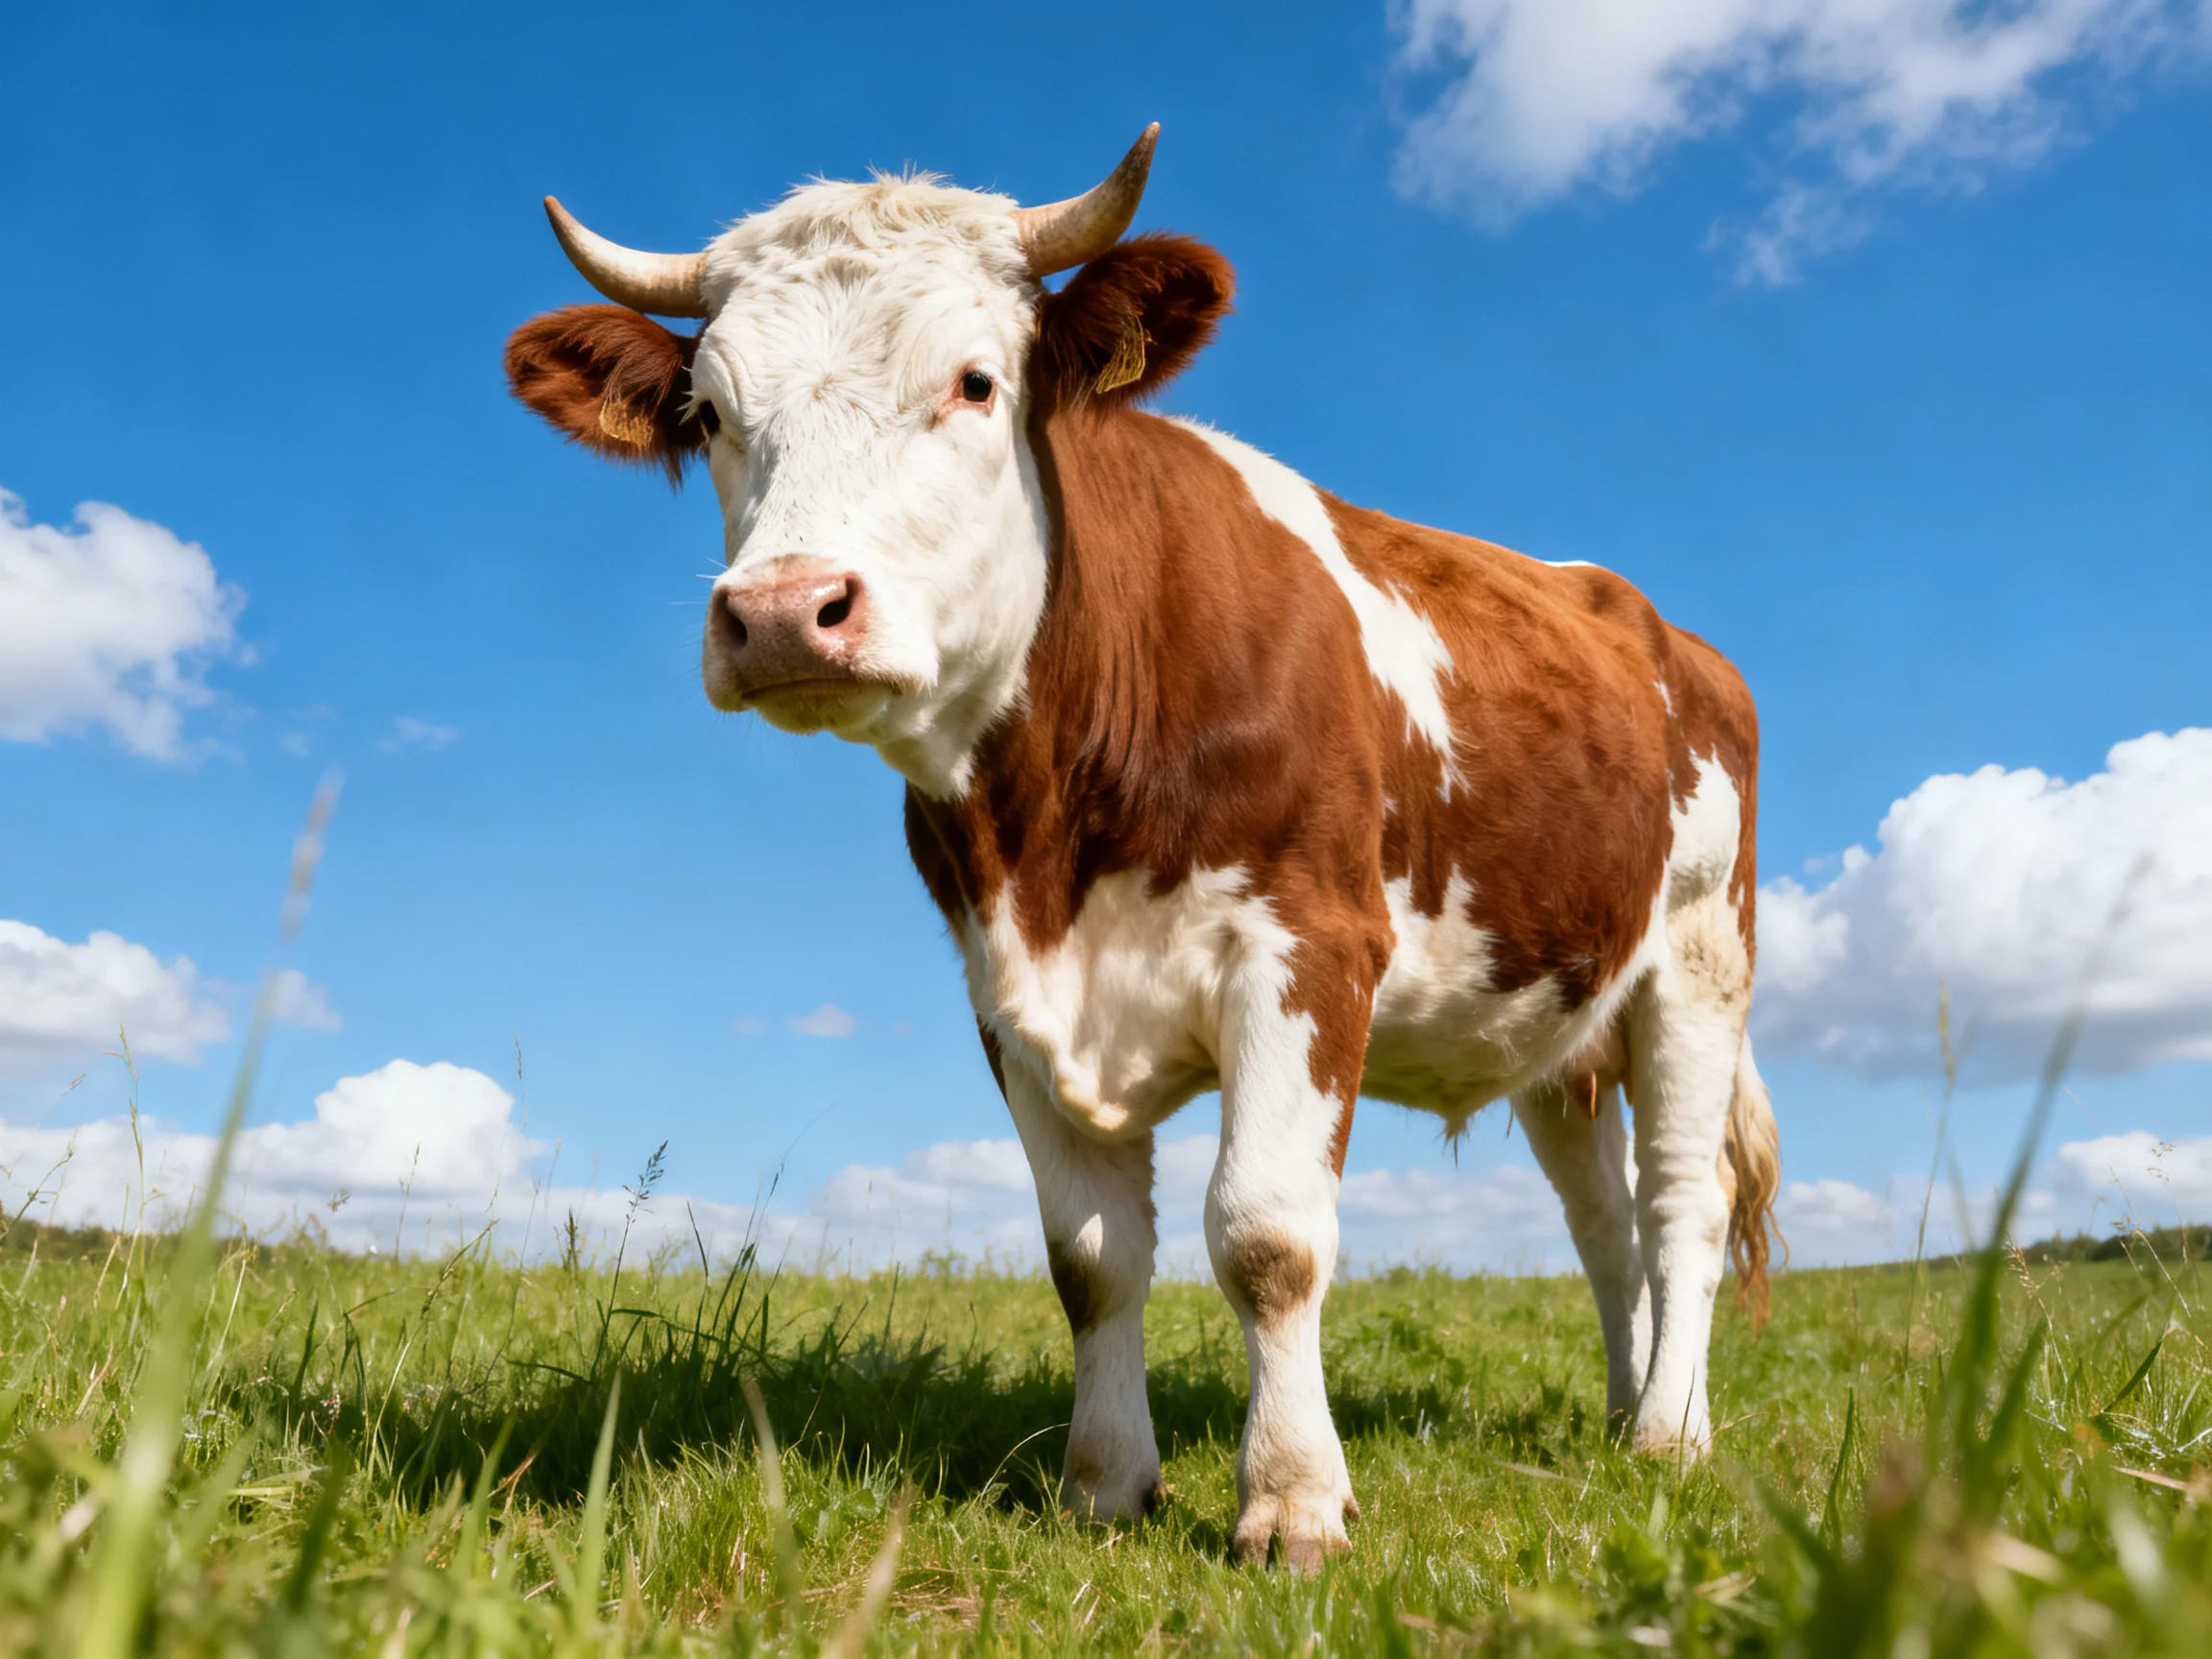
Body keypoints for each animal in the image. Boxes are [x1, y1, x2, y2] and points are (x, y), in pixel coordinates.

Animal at [505, 126, 1781, 1570]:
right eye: (712, 414)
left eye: (975, 382)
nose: (783, 612)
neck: (1053, 833)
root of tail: (1656, 620)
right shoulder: (1005, 994)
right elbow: (1091, 1260)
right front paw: (1105, 1484)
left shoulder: (1307, 948)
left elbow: (1268, 1236)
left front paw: (1293, 1501)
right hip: (1559, 1019)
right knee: (1602, 1223)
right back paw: (1621, 1415)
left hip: (1699, 963)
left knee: (1681, 1203)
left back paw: (1673, 1433)